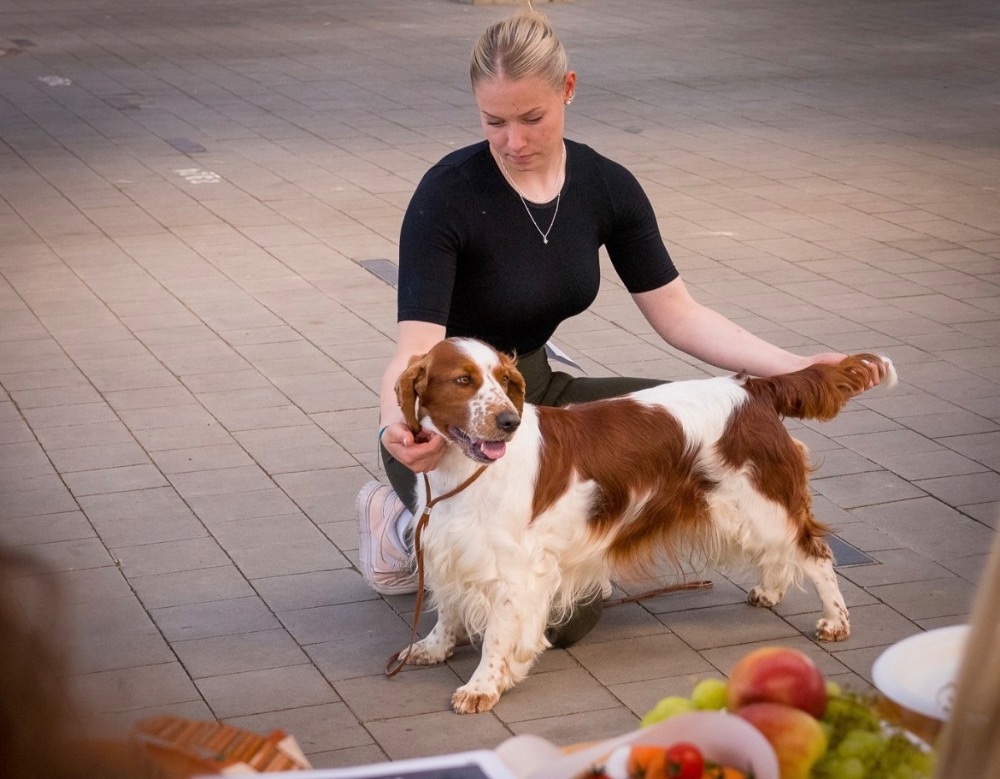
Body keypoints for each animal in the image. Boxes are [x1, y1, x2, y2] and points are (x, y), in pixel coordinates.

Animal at [393, 337, 895, 714]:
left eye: (503, 381)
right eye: (463, 380)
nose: (508, 421)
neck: (462, 472)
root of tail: (754, 388)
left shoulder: (517, 569)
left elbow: (499, 633)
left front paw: (481, 688)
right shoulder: (445, 544)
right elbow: (448, 605)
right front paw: (431, 648)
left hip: (760, 503)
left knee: (816, 552)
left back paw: (835, 621)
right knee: (782, 553)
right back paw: (770, 591)